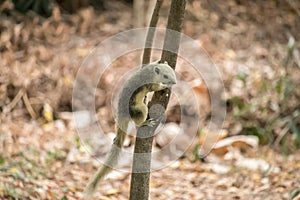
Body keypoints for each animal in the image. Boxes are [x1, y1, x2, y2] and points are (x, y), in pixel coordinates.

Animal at [82, 60, 176, 198]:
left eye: (173, 72)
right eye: (165, 76)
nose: (174, 82)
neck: (151, 71)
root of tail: (122, 116)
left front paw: (160, 60)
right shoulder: (150, 84)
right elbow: (156, 87)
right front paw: (165, 87)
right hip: (140, 109)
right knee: (138, 120)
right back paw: (145, 122)